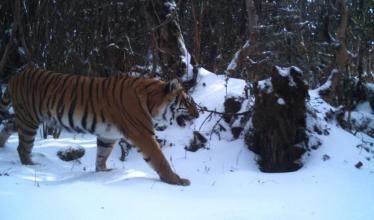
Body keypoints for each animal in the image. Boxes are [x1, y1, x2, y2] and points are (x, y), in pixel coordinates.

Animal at [0, 69, 200, 186]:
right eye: (188, 102)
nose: (198, 114)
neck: (152, 102)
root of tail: (15, 76)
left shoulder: (108, 134)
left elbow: (102, 154)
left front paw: (103, 172)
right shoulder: (142, 133)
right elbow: (160, 159)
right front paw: (176, 180)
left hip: (25, 118)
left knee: (8, 126)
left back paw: (2, 146)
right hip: (29, 120)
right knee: (23, 147)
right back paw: (31, 165)